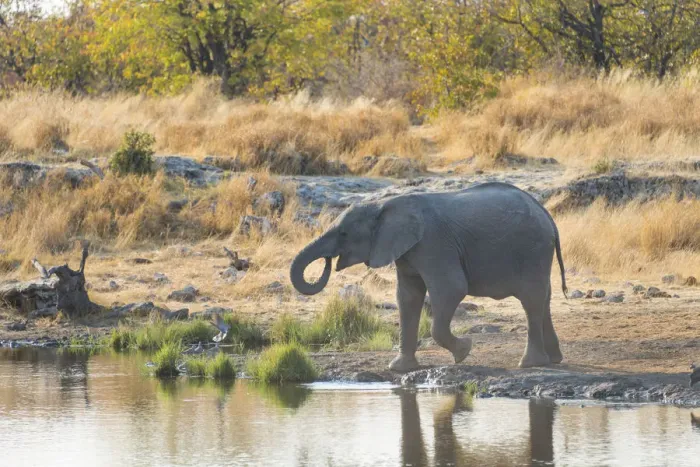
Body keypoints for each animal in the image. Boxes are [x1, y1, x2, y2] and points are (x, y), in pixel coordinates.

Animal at [290, 182, 567, 372]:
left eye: (344, 234)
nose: (328, 263)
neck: (384, 204)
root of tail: (546, 214)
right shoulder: (407, 250)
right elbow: (407, 297)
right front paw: (399, 368)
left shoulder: (433, 243)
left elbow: (451, 288)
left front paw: (464, 352)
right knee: (544, 299)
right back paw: (553, 360)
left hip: (532, 249)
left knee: (531, 299)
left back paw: (530, 364)